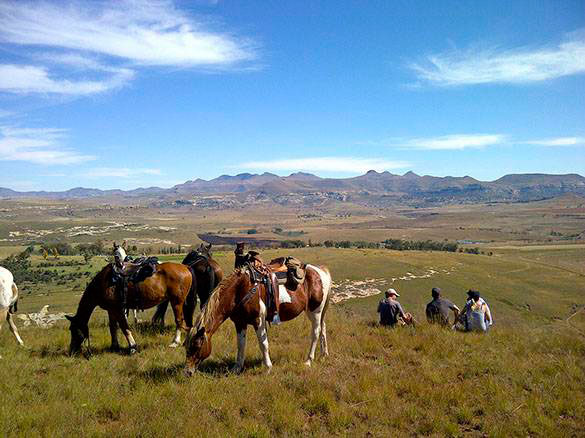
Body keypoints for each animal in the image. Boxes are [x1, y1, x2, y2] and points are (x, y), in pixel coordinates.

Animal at [65, 262, 194, 354]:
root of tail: (185, 267)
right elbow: (113, 327)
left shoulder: (118, 309)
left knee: (179, 320)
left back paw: (175, 342)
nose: (72, 350)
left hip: (177, 302)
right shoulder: (111, 310)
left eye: (73, 329)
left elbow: (124, 328)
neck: (104, 283)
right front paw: (114, 346)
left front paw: (132, 347)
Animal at [184, 255, 328, 374]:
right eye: (186, 347)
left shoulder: (258, 320)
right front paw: (237, 368)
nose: (188, 372)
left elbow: (263, 344)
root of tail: (321, 271)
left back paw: (309, 361)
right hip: (317, 312)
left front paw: (268, 367)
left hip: (315, 311)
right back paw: (324, 354)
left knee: (315, 332)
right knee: (323, 328)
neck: (239, 290)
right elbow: (241, 345)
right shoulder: (239, 322)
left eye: (196, 346)